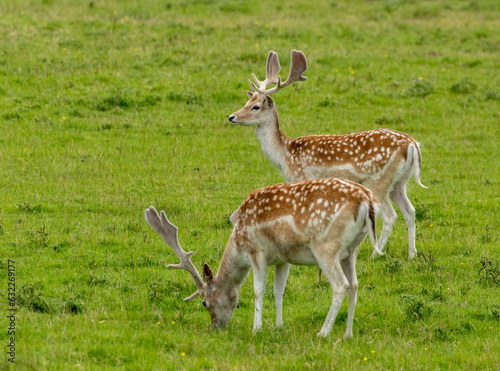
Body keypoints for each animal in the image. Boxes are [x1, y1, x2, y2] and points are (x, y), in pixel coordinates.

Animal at [146, 179, 380, 338]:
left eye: (204, 303)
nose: (215, 326)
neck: (238, 242)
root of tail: (367, 201)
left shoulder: (256, 250)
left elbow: (259, 290)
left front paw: (256, 328)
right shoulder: (282, 258)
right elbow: (278, 290)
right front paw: (278, 325)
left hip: (326, 246)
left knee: (341, 285)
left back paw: (323, 332)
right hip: (352, 250)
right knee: (354, 284)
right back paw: (348, 334)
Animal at [228, 49, 426, 258]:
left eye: (255, 106)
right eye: (246, 101)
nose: (232, 117)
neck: (284, 154)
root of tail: (413, 145)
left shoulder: (301, 177)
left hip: (378, 180)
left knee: (390, 216)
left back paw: (375, 254)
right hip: (399, 182)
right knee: (410, 211)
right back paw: (412, 254)